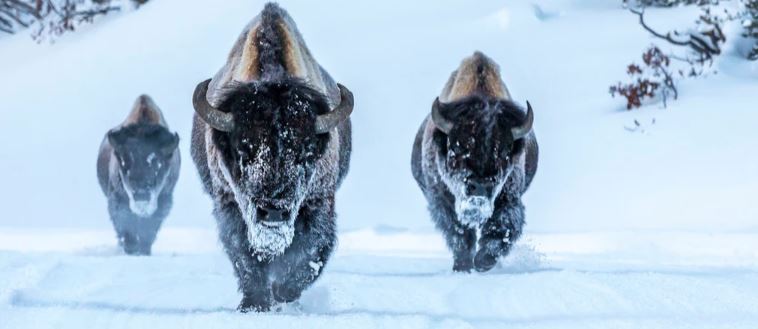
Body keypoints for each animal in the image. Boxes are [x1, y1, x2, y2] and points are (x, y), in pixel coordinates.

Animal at [96, 93, 181, 255]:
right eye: (124, 162)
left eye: (157, 164)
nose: (141, 196)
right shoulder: (118, 201)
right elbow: (126, 228)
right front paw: (132, 249)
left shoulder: (163, 201)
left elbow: (148, 231)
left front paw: (143, 250)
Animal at [190, 2, 356, 310]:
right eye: (244, 148)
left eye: (305, 151)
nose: (274, 212)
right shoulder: (228, 202)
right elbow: (244, 255)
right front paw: (254, 303)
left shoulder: (319, 202)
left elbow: (311, 252)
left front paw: (282, 292)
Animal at [412, 51, 536, 272]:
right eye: (458, 148)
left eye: (503, 152)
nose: (479, 187)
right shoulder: (442, 201)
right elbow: (458, 232)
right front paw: (462, 265)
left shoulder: (510, 200)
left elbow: (502, 227)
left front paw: (483, 261)